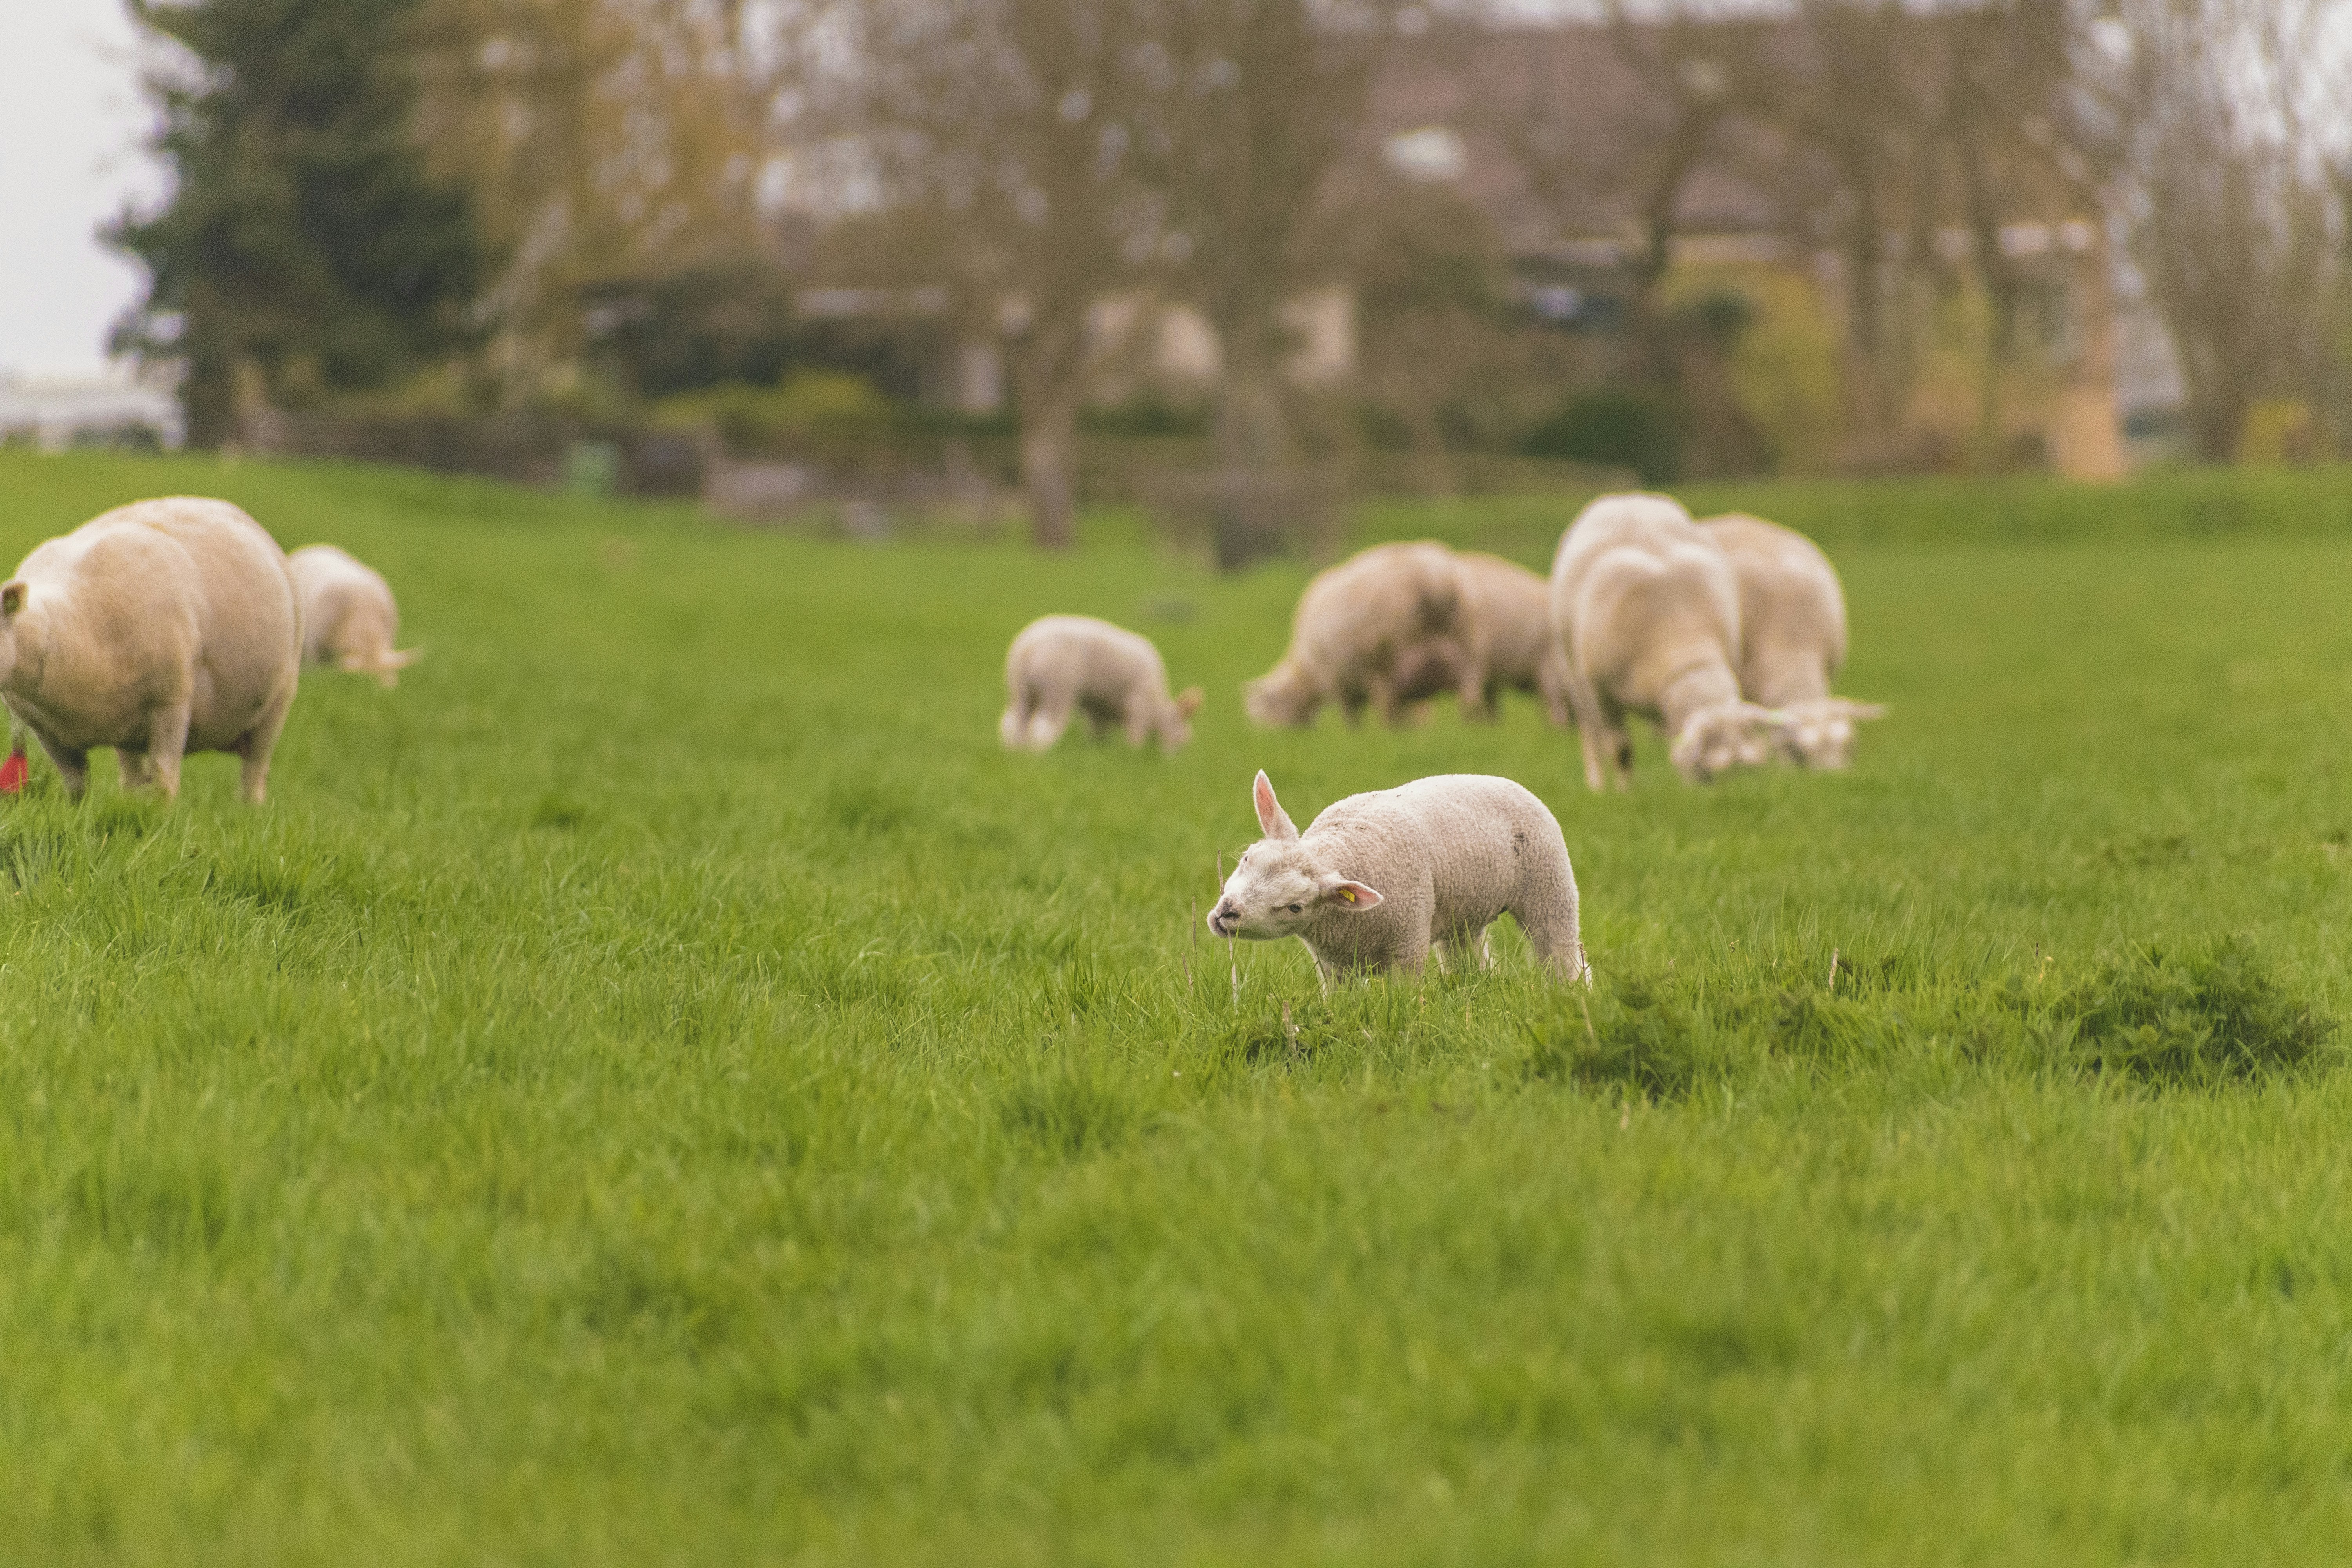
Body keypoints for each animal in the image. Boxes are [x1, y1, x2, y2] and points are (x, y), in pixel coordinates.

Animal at [0, 496, 301, 803]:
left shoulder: (172, 703)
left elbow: (164, 775)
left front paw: (162, 812)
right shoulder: (48, 732)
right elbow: (76, 787)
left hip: (279, 699)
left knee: (255, 771)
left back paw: (250, 807)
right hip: (126, 730)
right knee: (132, 774)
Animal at [1000, 615, 1202, 751]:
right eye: (1183, 738)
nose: (1172, 761)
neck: (1157, 708)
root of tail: (1029, 647)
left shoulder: (1097, 709)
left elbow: (1097, 733)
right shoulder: (1138, 706)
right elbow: (1135, 736)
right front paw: (1134, 755)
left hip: (1020, 688)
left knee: (1014, 723)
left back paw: (1016, 752)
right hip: (1058, 688)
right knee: (1044, 728)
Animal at [1207, 769, 1589, 983]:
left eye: (1295, 907)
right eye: (1247, 858)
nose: (1227, 913)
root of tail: (1502, 780)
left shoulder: (1408, 945)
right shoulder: (1332, 967)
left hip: (1549, 884)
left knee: (1562, 953)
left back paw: (1571, 997)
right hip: (1462, 914)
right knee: (1469, 959)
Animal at [1244, 541, 1475, 728]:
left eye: (1267, 711)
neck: (1307, 674)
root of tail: (1434, 577)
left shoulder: (1338, 681)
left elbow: (1351, 717)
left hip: (1397, 652)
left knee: (1396, 699)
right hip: (1463, 638)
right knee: (1465, 685)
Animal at [1549, 491, 1790, 790]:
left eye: (1753, 771)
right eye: (1710, 773)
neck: (1677, 631)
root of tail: (1629, 497)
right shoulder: (1600, 692)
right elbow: (1620, 748)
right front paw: (1626, 792)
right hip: (1573, 671)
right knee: (1590, 729)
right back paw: (1597, 783)